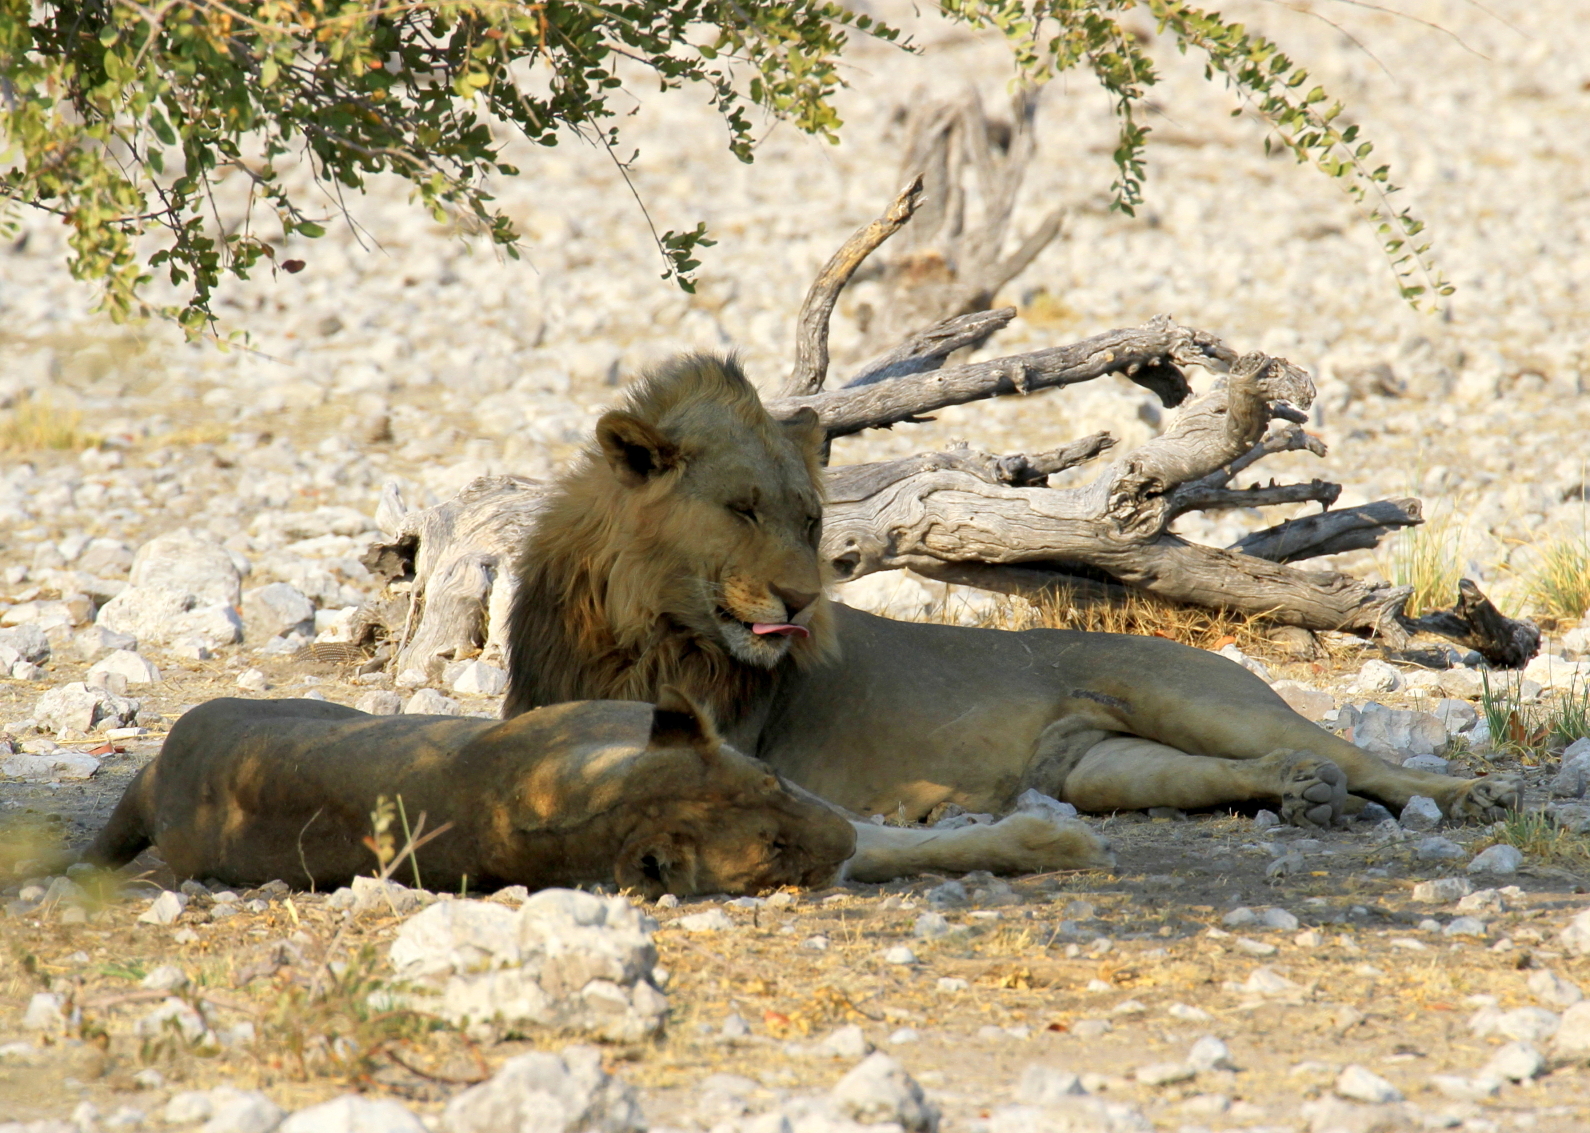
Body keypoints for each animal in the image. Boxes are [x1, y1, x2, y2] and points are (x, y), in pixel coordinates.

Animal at [504, 355, 1520, 830]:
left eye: (810, 519)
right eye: (742, 508)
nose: (800, 604)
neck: (646, 625)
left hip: (1200, 697)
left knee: (1348, 753)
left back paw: (1457, 791)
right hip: (1100, 768)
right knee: (1264, 767)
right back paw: (1302, 795)